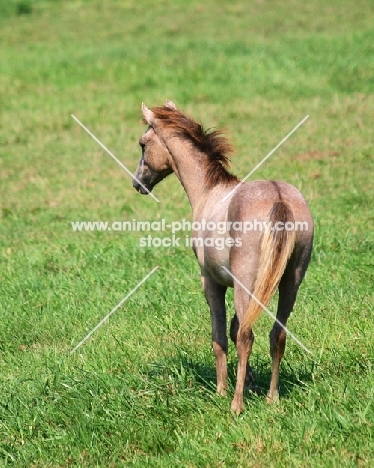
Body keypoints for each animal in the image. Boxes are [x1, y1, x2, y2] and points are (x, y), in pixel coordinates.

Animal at [131, 99, 312, 414]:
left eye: (143, 144)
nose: (138, 183)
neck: (209, 191)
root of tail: (279, 198)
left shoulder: (212, 283)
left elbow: (220, 336)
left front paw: (222, 388)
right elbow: (235, 327)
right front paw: (251, 382)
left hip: (246, 285)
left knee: (246, 337)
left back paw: (236, 405)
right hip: (291, 282)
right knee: (277, 335)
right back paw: (271, 397)